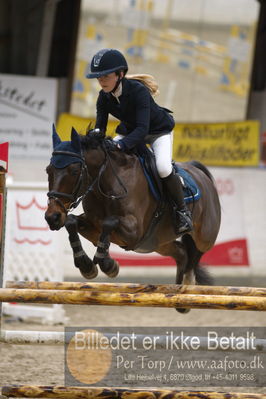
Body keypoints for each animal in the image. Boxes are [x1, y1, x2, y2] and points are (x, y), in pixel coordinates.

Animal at [45, 126, 220, 310]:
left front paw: (108, 265)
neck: (105, 183)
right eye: (48, 170)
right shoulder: (93, 226)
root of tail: (200, 173)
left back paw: (188, 286)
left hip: (205, 236)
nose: (52, 217)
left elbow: (109, 222)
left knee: (196, 252)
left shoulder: (134, 232)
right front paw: (87, 266)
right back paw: (178, 295)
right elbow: (71, 221)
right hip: (156, 243)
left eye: (74, 171)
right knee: (182, 253)